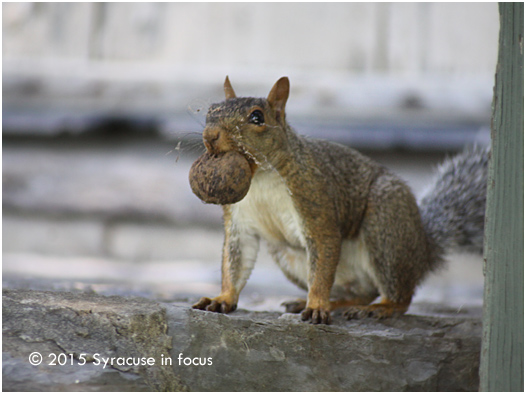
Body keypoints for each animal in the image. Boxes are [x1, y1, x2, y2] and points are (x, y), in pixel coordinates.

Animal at [193, 76, 490, 324]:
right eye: (210, 111)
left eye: (257, 117)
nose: (210, 136)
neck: (261, 177)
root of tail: (423, 251)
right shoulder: (239, 220)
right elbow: (235, 261)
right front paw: (222, 299)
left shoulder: (314, 198)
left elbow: (323, 257)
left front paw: (316, 307)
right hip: (289, 257)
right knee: (361, 292)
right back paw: (330, 303)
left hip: (387, 228)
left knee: (400, 295)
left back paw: (379, 308)